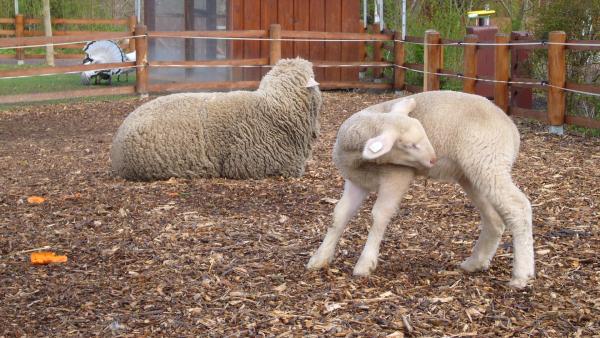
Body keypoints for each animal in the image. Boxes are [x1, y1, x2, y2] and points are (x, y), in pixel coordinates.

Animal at [310, 91, 536, 290]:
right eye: (410, 145)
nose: (433, 160)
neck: (361, 159)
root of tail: (511, 129)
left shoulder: (397, 175)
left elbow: (379, 215)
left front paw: (365, 264)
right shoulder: (356, 182)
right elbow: (339, 215)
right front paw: (319, 258)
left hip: (489, 161)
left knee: (518, 207)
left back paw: (521, 275)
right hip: (472, 174)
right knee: (494, 219)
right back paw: (474, 263)